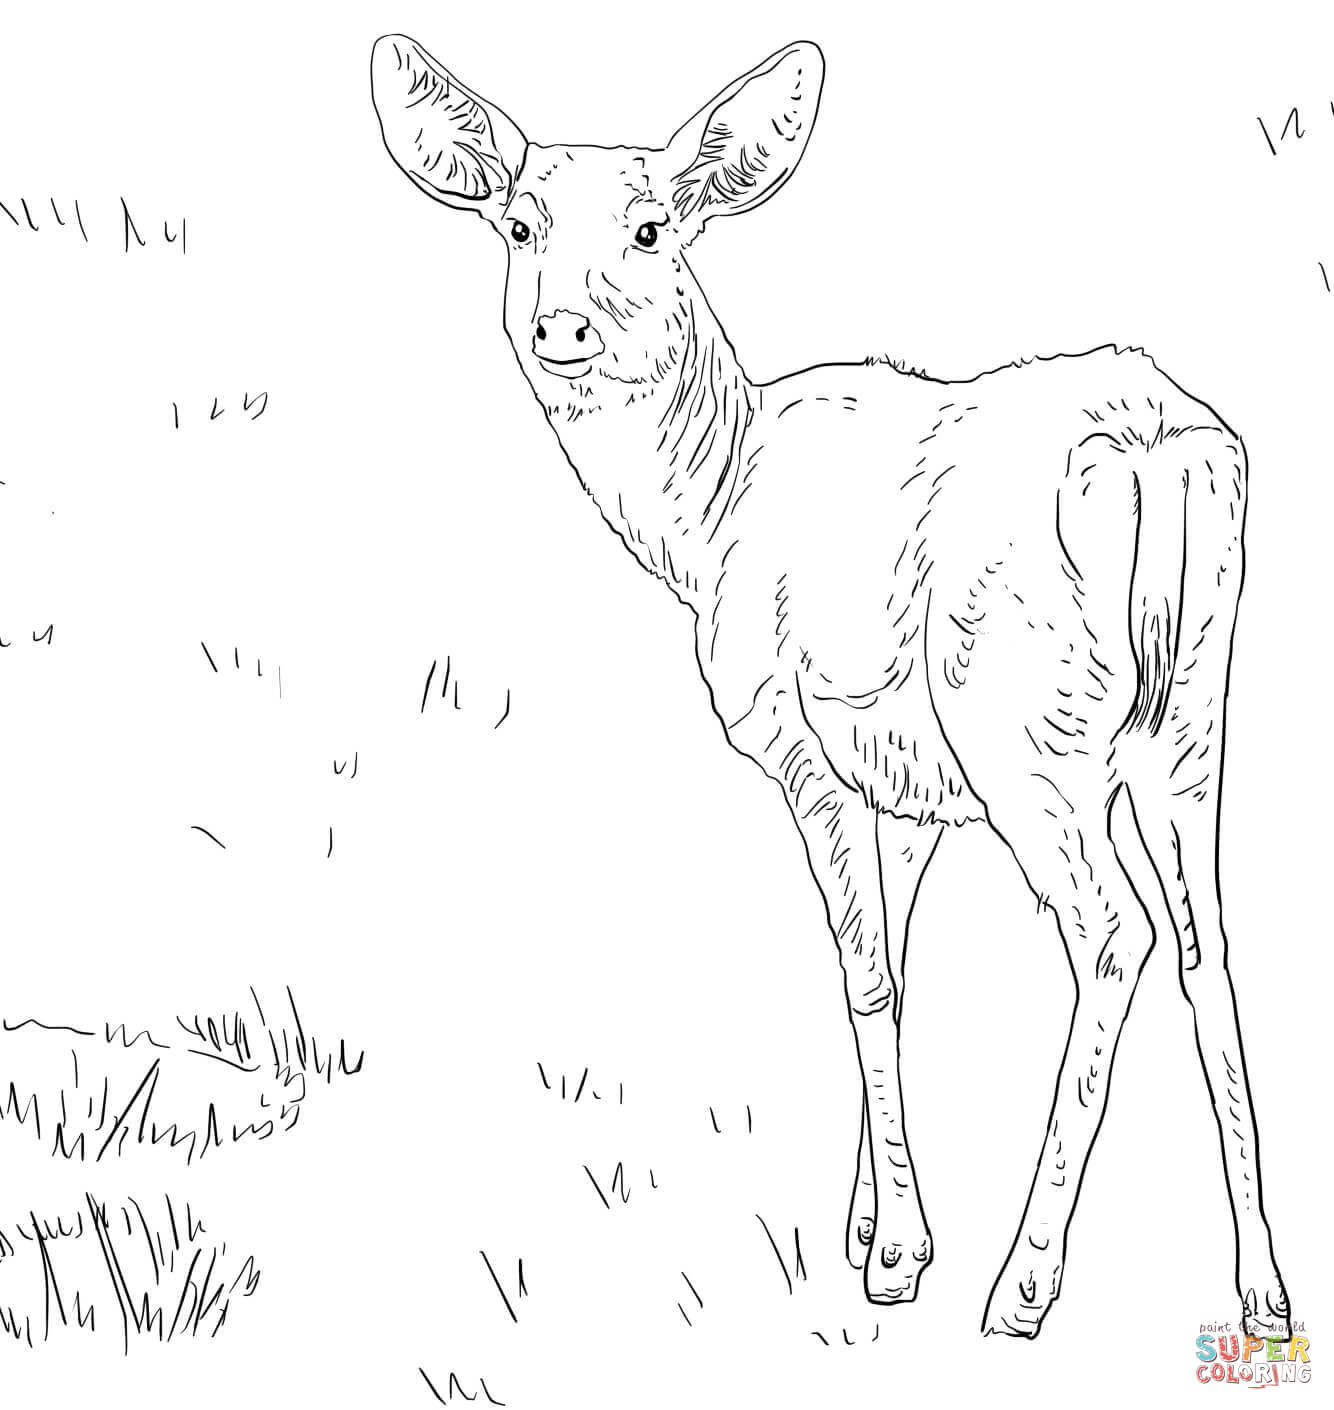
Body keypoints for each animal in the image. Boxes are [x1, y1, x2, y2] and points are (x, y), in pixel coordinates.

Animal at [370, 35, 1292, 1339]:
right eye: (517, 221)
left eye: (652, 227)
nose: (562, 329)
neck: (704, 515)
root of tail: (1158, 451)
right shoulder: (905, 786)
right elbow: (895, 969)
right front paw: (868, 1222)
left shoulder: (799, 738)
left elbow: (860, 974)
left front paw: (895, 1255)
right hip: (1189, 718)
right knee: (1207, 943)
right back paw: (1261, 1289)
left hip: (1025, 729)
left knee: (1113, 932)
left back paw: (1021, 1285)